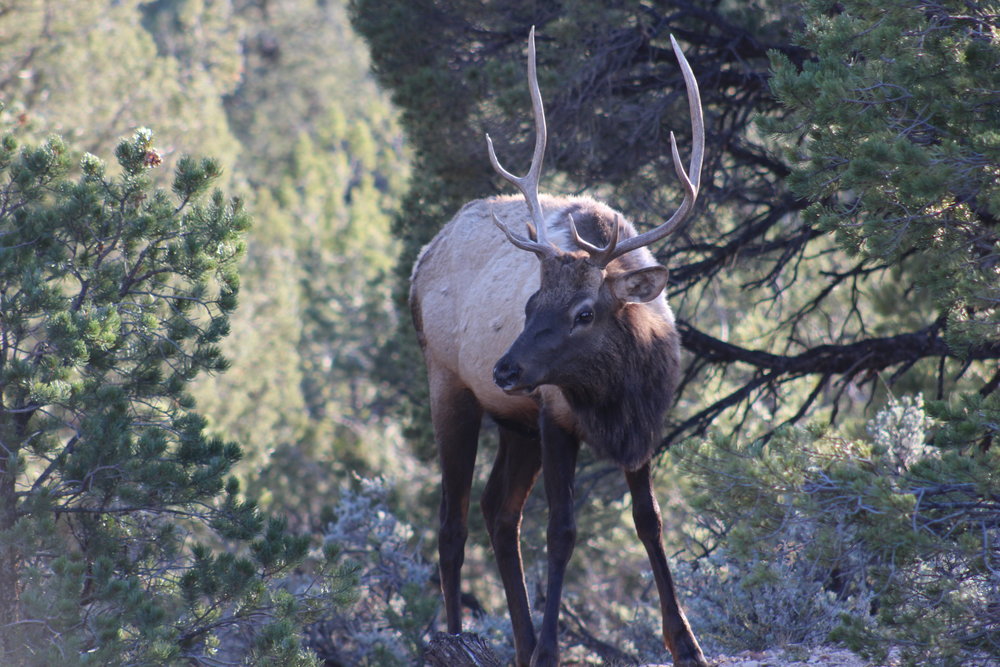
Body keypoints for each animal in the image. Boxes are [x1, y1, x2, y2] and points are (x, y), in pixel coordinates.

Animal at [410, 27, 708, 667]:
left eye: (583, 312)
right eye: (529, 305)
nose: (505, 367)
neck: (616, 396)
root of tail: (420, 262)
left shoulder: (644, 427)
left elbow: (650, 520)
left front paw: (686, 643)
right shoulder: (555, 414)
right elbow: (562, 530)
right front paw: (551, 648)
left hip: (516, 421)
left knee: (499, 512)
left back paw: (519, 643)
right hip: (450, 383)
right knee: (453, 521)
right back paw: (457, 637)